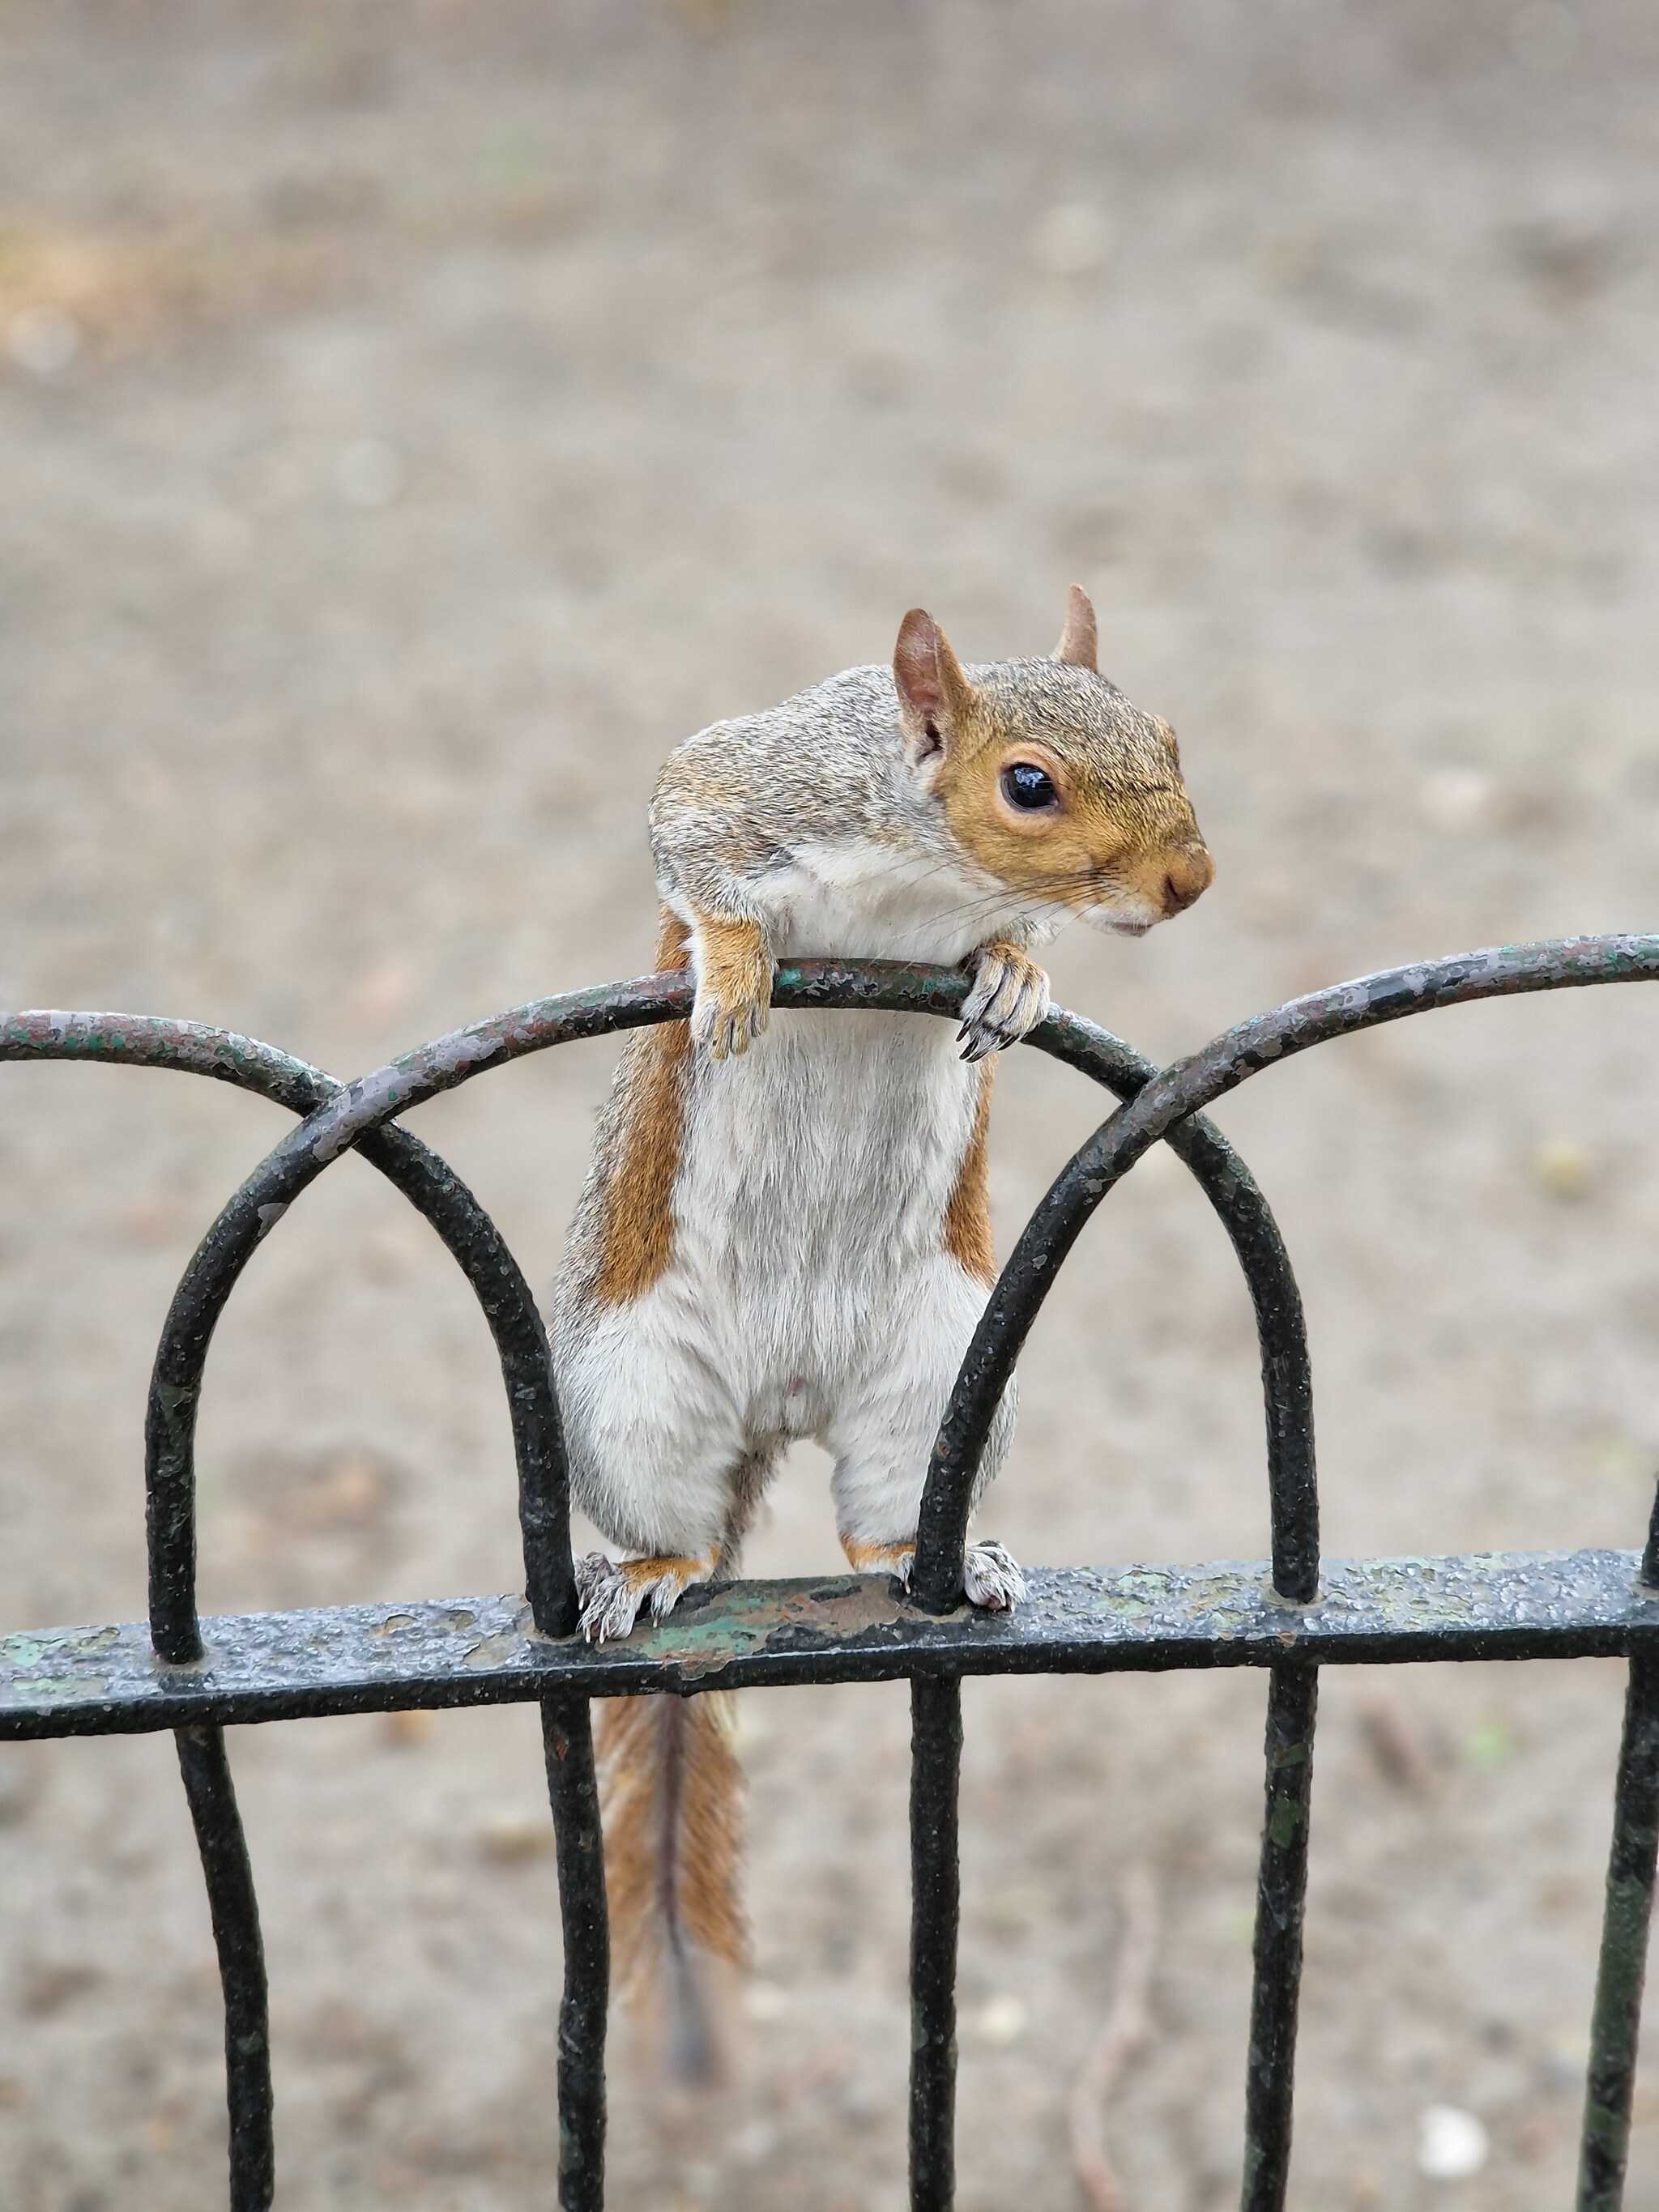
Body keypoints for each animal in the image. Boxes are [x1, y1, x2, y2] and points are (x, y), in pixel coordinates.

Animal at [552, 588, 1212, 2070]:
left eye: (1166, 734)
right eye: (1026, 784)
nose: (1189, 882)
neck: (931, 878)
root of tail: (784, 1401)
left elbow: (1007, 951)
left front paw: (1017, 971)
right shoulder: (759, 785)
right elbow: (688, 828)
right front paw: (736, 966)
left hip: (934, 1376)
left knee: (878, 1522)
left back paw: (926, 1551)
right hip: (629, 1395)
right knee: (678, 1527)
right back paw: (650, 1568)